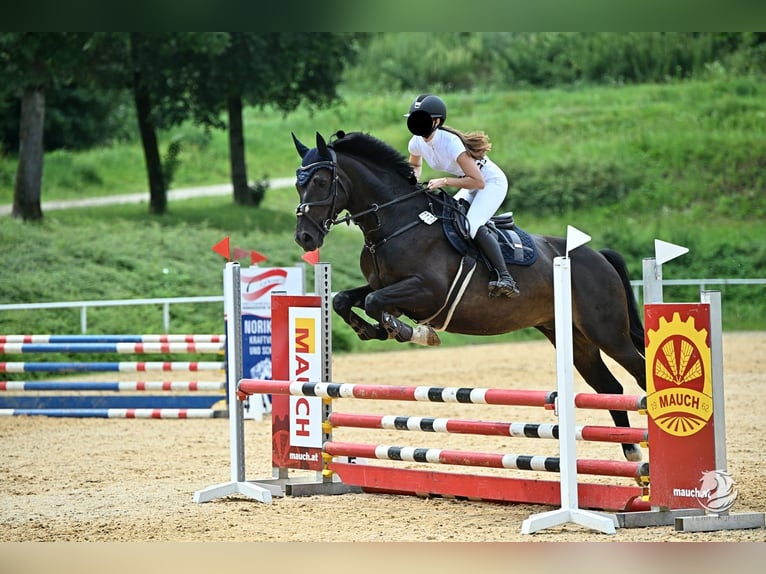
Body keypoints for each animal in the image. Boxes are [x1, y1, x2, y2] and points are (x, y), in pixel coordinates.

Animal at [290, 130, 648, 464]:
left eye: (320, 181)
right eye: (298, 183)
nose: (304, 238)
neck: (396, 224)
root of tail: (598, 256)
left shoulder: (428, 290)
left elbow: (375, 302)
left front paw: (407, 331)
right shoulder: (382, 284)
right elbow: (344, 300)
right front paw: (372, 329)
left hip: (606, 332)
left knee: (638, 374)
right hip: (573, 337)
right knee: (610, 387)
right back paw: (631, 451)